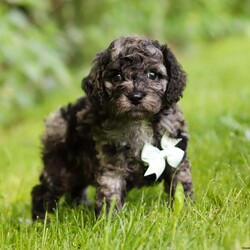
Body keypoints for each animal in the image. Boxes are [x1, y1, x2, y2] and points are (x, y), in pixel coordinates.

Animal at [31, 34, 193, 220]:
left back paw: (80, 207)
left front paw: (186, 210)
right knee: (43, 191)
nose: (135, 97)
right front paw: (110, 222)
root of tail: (56, 116)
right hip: (60, 168)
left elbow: (180, 184)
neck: (139, 121)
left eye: (152, 74)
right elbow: (110, 194)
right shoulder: (112, 164)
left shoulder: (176, 155)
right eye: (117, 76)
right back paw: (42, 220)